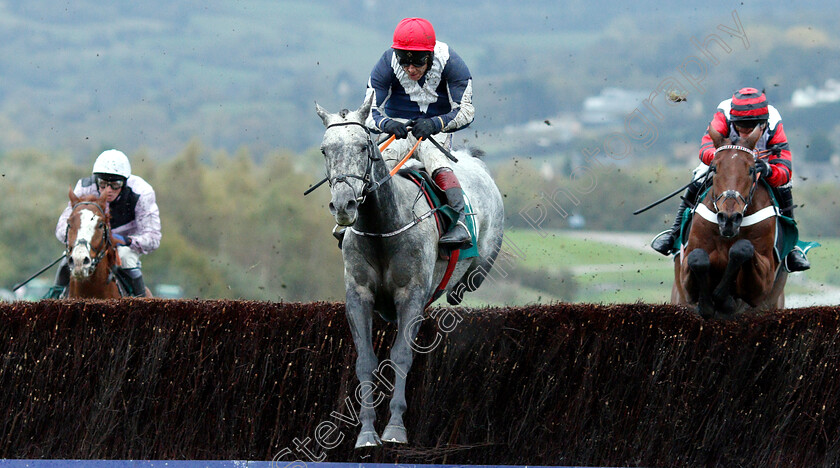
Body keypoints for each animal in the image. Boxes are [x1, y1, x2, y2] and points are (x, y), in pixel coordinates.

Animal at [314, 96, 498, 450]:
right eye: (325, 150)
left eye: (362, 146)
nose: (343, 205)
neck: (383, 225)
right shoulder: (358, 295)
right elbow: (366, 360)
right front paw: (367, 433)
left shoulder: (410, 294)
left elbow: (400, 356)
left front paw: (395, 429)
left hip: (483, 258)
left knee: (470, 280)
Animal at [668, 126, 788, 320]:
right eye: (715, 168)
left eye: (751, 169)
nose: (729, 219)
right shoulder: (686, 280)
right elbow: (697, 258)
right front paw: (708, 303)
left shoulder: (764, 280)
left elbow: (742, 248)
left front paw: (723, 298)